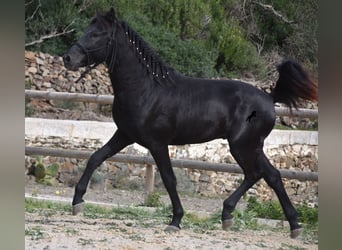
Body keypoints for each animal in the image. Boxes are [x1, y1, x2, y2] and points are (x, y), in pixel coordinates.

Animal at [62, 7, 316, 238]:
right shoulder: (124, 135)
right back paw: (286, 225)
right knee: (270, 175)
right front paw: (77, 202)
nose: (68, 58)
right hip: (251, 146)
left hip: (243, 146)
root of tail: (270, 98)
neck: (146, 89)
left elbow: (169, 179)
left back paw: (235, 215)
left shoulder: (157, 143)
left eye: (97, 34)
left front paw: (175, 220)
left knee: (257, 174)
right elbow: (95, 158)